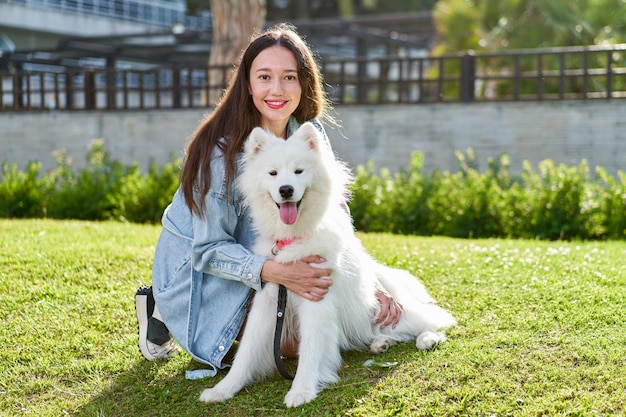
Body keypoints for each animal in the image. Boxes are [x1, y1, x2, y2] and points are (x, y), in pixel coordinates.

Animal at [199, 121, 454, 406]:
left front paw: (301, 390)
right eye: (273, 173)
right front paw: (223, 389)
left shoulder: (317, 301)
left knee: (435, 319)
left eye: (299, 171)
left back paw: (428, 338)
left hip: (388, 313)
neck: (293, 239)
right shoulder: (269, 302)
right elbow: (246, 352)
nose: (286, 190)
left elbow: (310, 351)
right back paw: (380, 343)